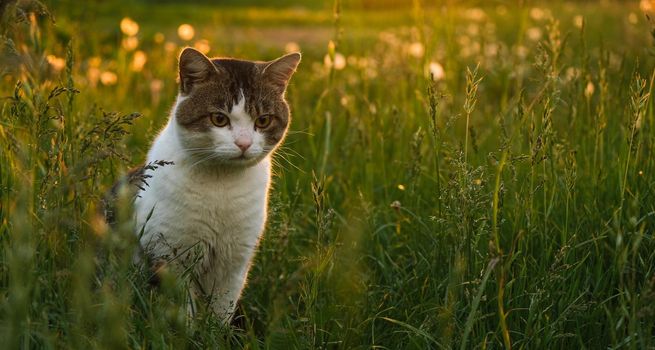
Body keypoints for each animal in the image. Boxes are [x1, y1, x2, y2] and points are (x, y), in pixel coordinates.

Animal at [129, 47, 302, 322]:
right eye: (219, 118)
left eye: (263, 121)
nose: (243, 143)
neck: (222, 183)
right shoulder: (170, 256)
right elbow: (183, 311)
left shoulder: (235, 263)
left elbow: (221, 311)